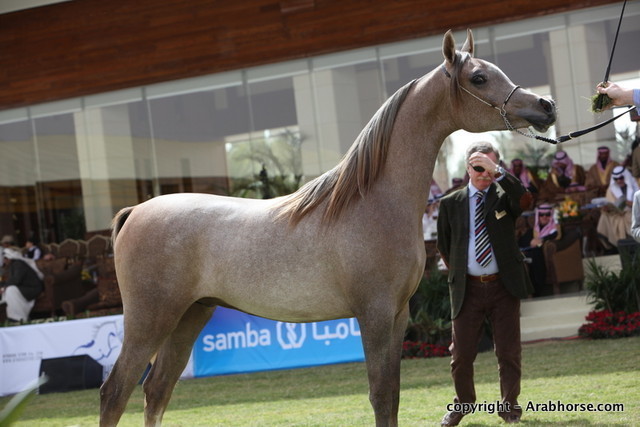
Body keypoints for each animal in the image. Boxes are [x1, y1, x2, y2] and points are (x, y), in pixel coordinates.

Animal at [99, 29, 556, 426]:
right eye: (479, 77)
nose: (545, 105)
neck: (371, 201)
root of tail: (135, 211)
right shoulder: (373, 314)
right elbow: (380, 394)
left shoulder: (398, 316)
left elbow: (392, 395)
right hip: (150, 319)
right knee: (115, 391)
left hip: (188, 316)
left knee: (156, 391)